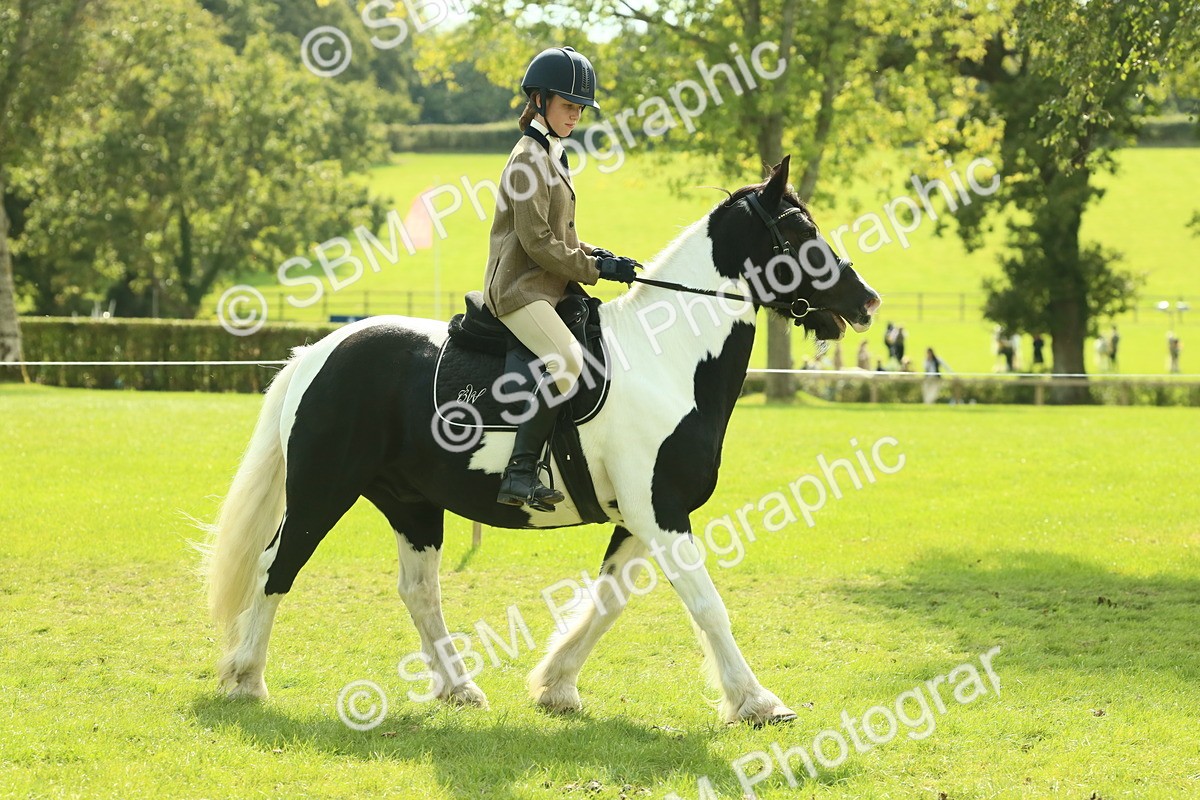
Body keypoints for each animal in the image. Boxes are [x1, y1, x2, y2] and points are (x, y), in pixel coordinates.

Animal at [202, 155, 881, 726]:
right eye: (798, 230)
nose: (867, 301)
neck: (667, 357)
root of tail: (317, 352)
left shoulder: (641, 517)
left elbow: (609, 601)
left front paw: (556, 686)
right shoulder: (660, 512)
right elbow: (706, 602)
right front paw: (758, 702)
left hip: (411, 503)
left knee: (419, 591)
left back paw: (459, 689)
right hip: (323, 490)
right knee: (276, 566)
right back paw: (246, 680)